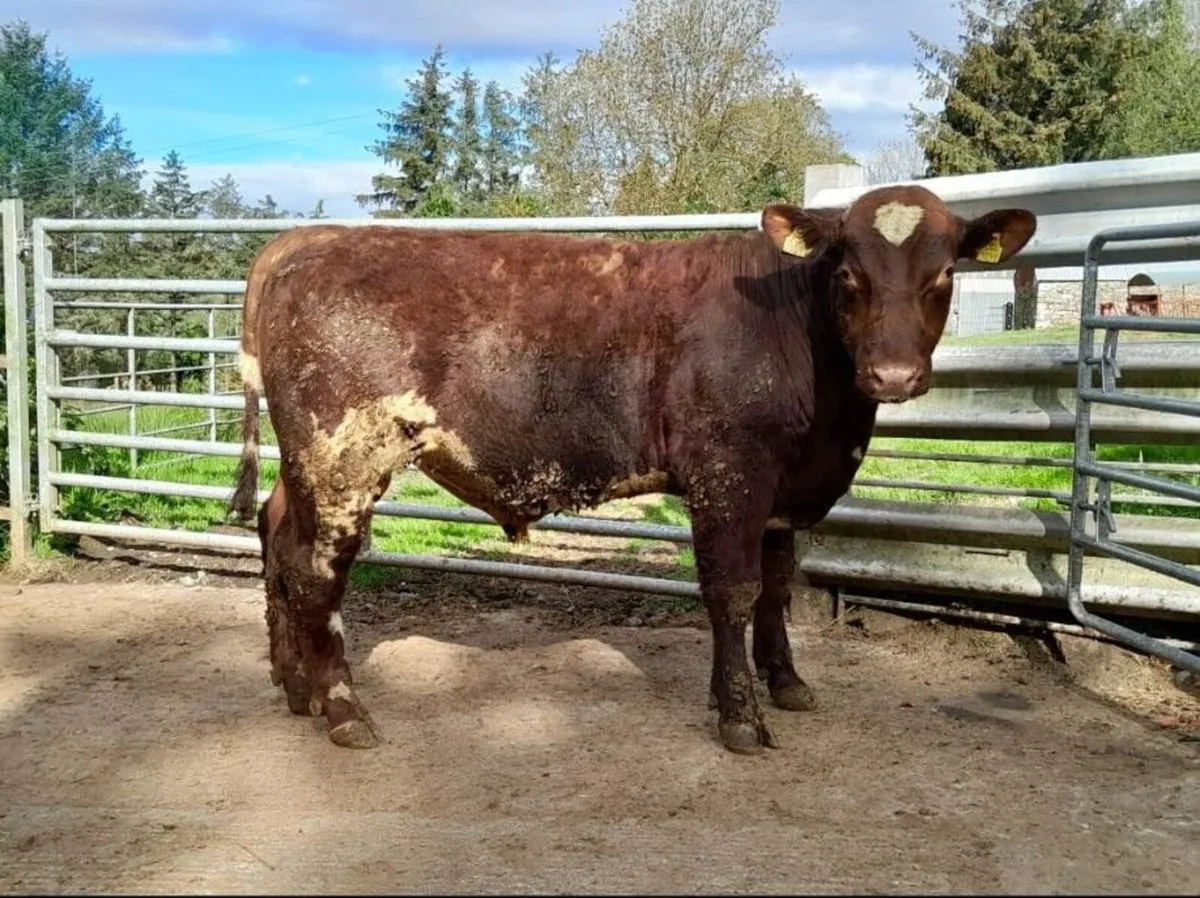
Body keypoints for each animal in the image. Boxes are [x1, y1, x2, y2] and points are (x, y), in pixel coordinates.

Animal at [228, 184, 1036, 755]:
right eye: (848, 274)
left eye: (944, 274)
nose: (893, 375)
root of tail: (305, 242)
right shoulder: (728, 475)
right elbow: (734, 593)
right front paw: (740, 716)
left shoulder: (780, 491)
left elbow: (777, 588)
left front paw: (786, 683)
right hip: (343, 458)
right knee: (317, 572)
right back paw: (343, 710)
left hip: (305, 465)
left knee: (278, 541)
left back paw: (294, 687)